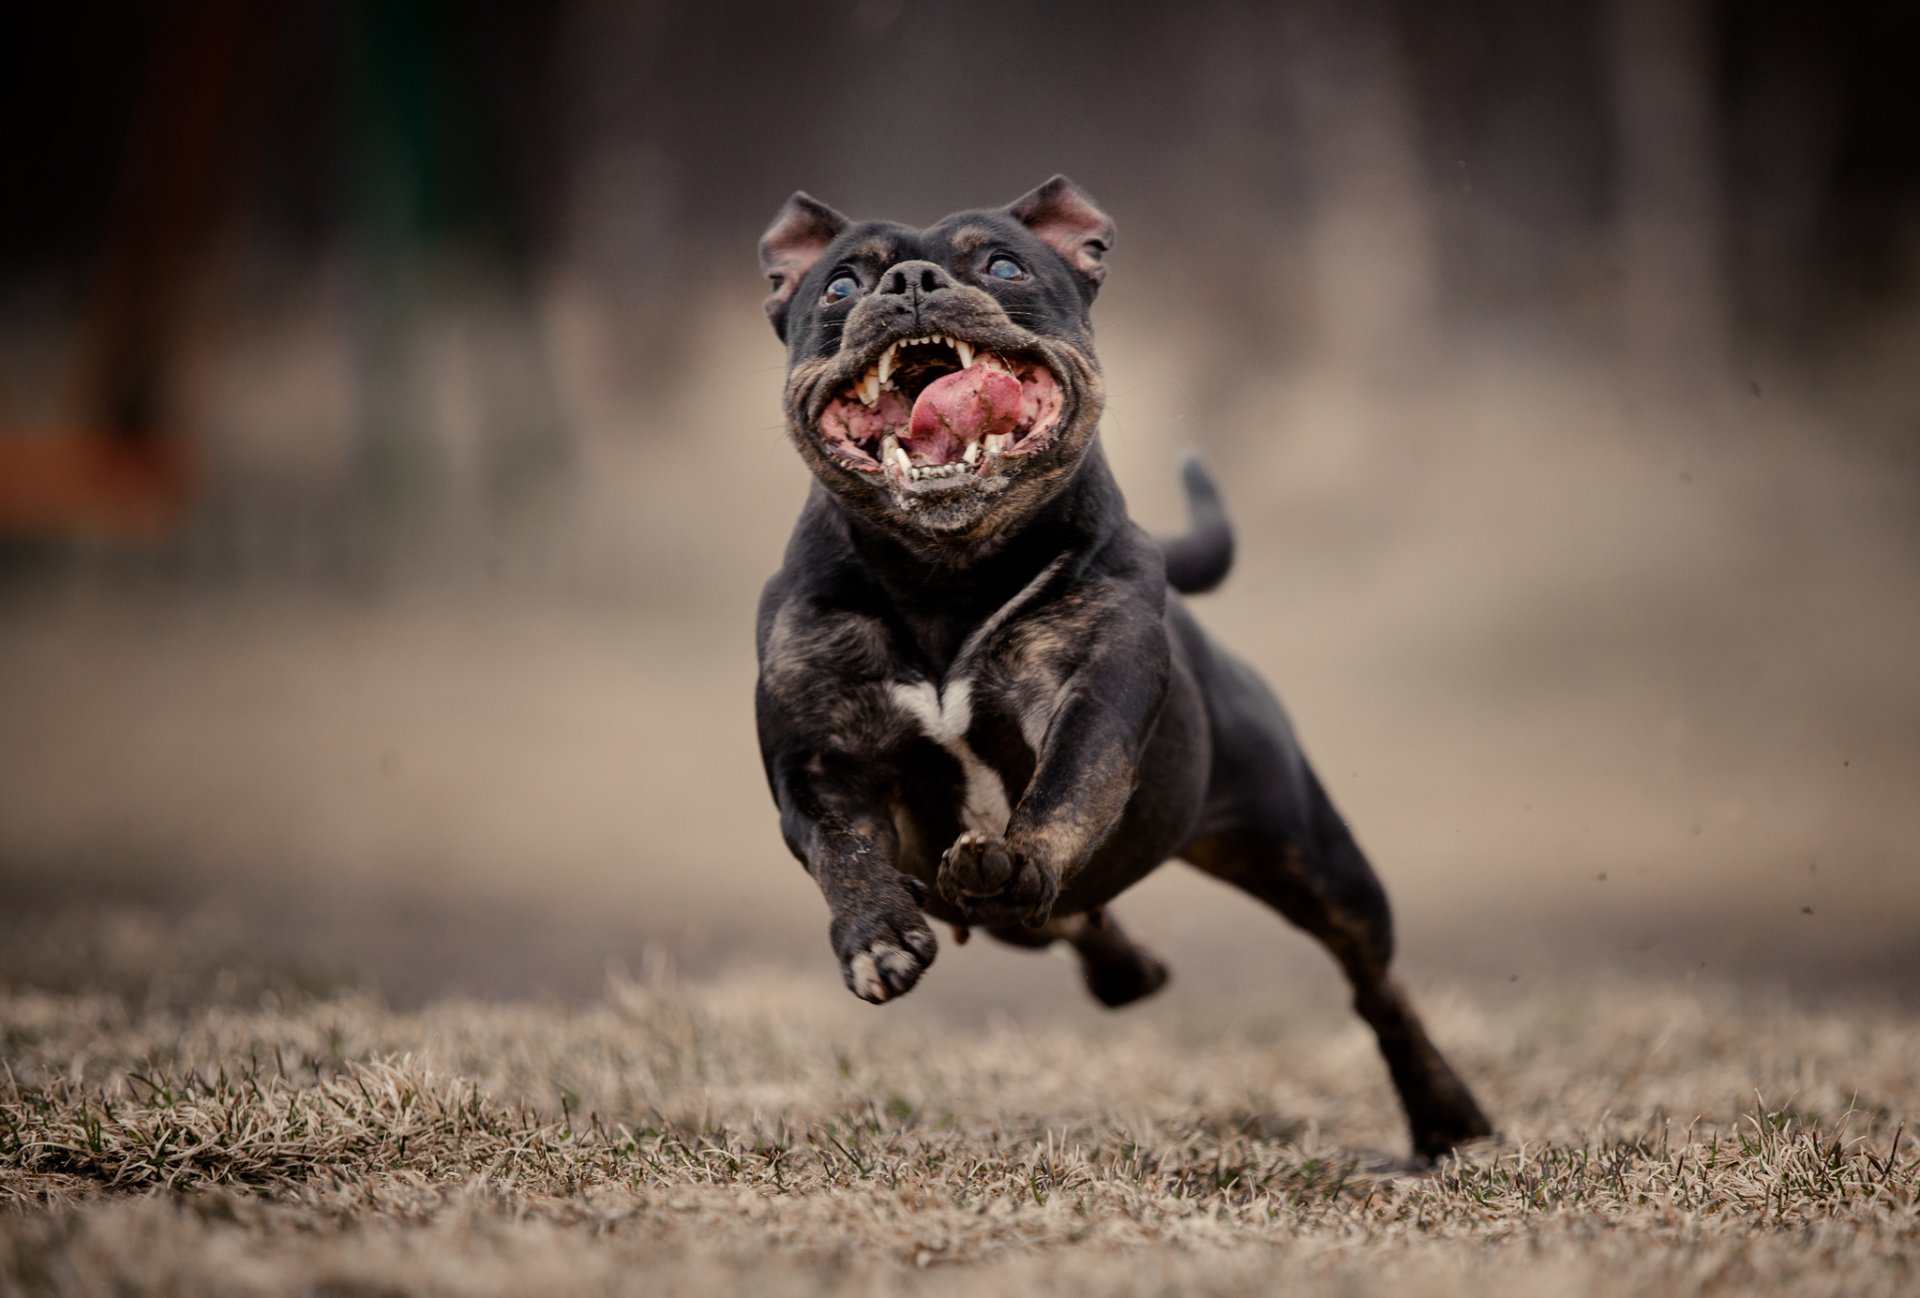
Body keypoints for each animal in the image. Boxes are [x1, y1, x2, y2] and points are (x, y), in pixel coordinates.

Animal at [752, 177, 1497, 1159]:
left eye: (1003, 265)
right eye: (840, 285)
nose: (910, 281)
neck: (942, 576)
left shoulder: (1093, 696)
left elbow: (1067, 787)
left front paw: (1017, 857)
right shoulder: (816, 756)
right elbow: (842, 849)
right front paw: (877, 937)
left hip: (1315, 857)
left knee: (1377, 989)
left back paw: (1447, 1116)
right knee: (1073, 921)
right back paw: (1121, 967)